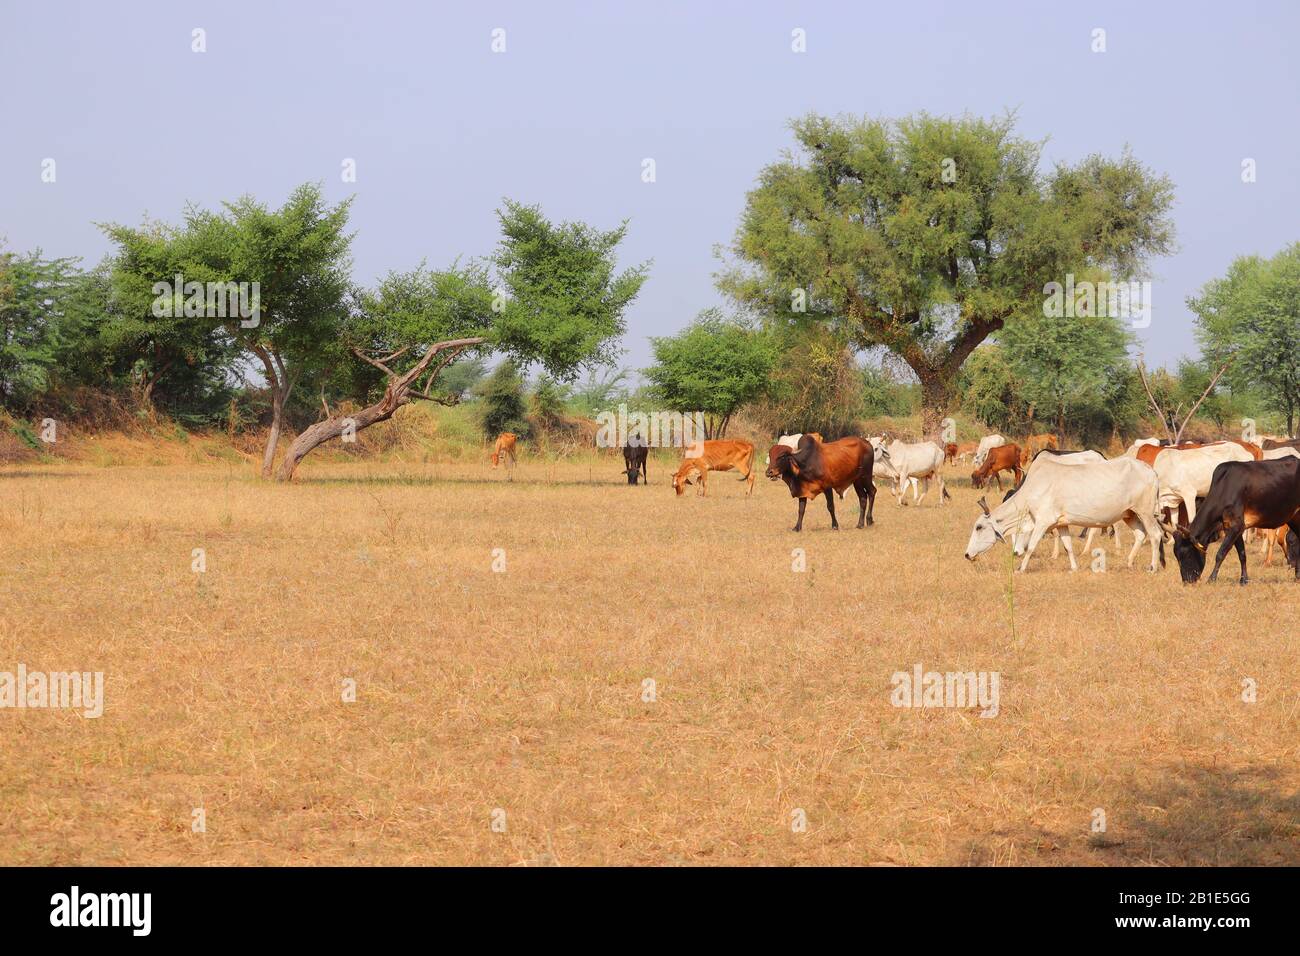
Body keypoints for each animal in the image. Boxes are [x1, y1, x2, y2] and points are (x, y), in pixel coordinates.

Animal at [961, 457, 1164, 572]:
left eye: (979, 527)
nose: (967, 554)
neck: (1032, 490)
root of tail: (1151, 470)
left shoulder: (1043, 522)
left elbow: (1031, 546)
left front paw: (1020, 568)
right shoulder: (1062, 523)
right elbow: (1068, 546)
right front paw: (1074, 568)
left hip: (1145, 512)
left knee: (1155, 535)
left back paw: (1153, 567)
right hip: (1129, 514)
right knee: (1140, 534)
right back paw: (1129, 563)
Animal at [1164, 455, 1300, 582]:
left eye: (1187, 554)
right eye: (1177, 556)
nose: (1187, 581)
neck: (1224, 487)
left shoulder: (1236, 526)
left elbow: (1220, 553)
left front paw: (1212, 578)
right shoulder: (1233, 528)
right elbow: (1242, 554)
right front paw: (1243, 580)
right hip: (1293, 518)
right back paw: (1297, 576)